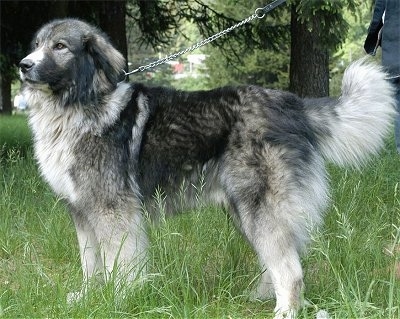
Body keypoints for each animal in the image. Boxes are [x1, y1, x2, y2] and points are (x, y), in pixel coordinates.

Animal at [19, 18, 396, 319]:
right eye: (37, 45)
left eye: (60, 46)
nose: (23, 65)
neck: (79, 107)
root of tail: (294, 105)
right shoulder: (81, 211)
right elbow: (91, 263)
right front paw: (89, 297)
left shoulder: (113, 212)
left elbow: (119, 264)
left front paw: (118, 299)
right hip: (244, 211)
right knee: (283, 258)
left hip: (259, 209)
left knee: (290, 268)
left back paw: (285, 310)